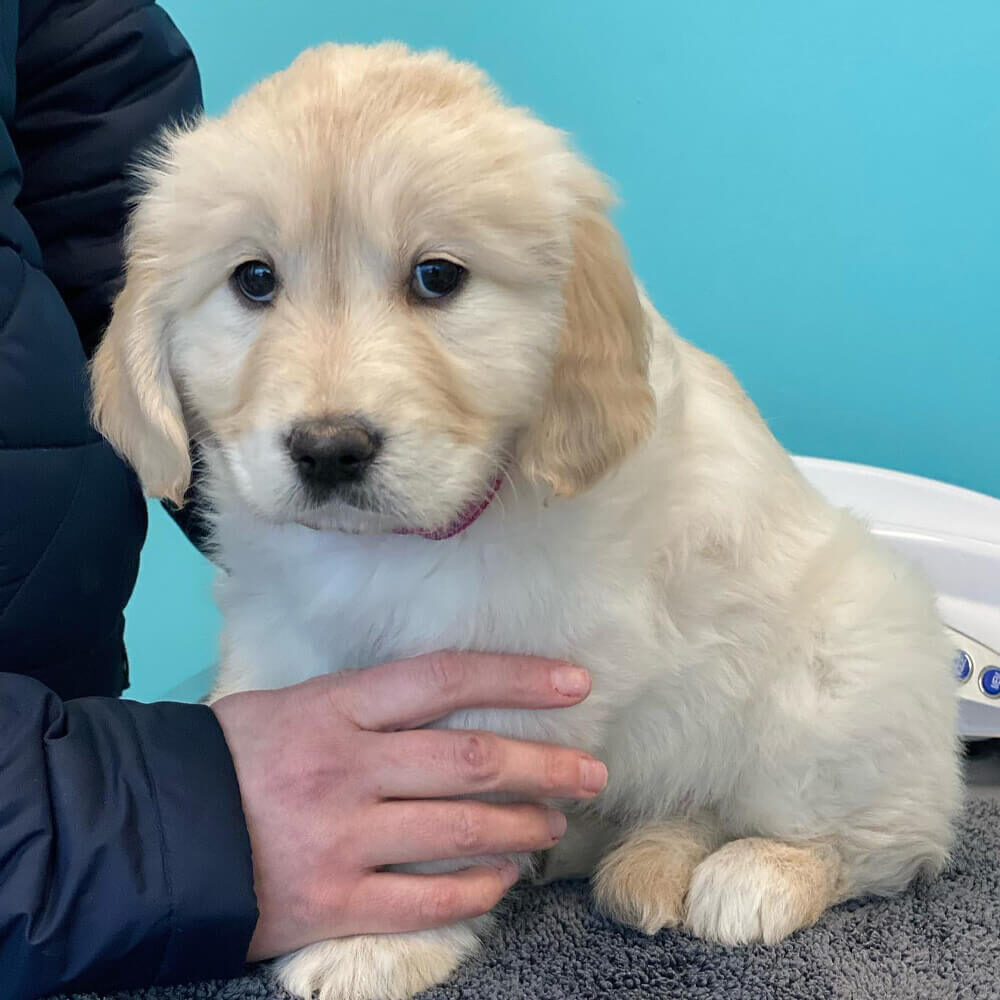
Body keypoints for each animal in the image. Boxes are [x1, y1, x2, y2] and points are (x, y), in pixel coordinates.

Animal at [92, 43, 960, 1000]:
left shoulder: (517, 679)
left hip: (837, 687)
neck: (402, 546)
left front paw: (381, 938)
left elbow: (436, 818)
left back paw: (759, 873)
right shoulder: (283, 628)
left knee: (892, 842)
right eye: (253, 280)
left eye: (438, 276)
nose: (328, 450)